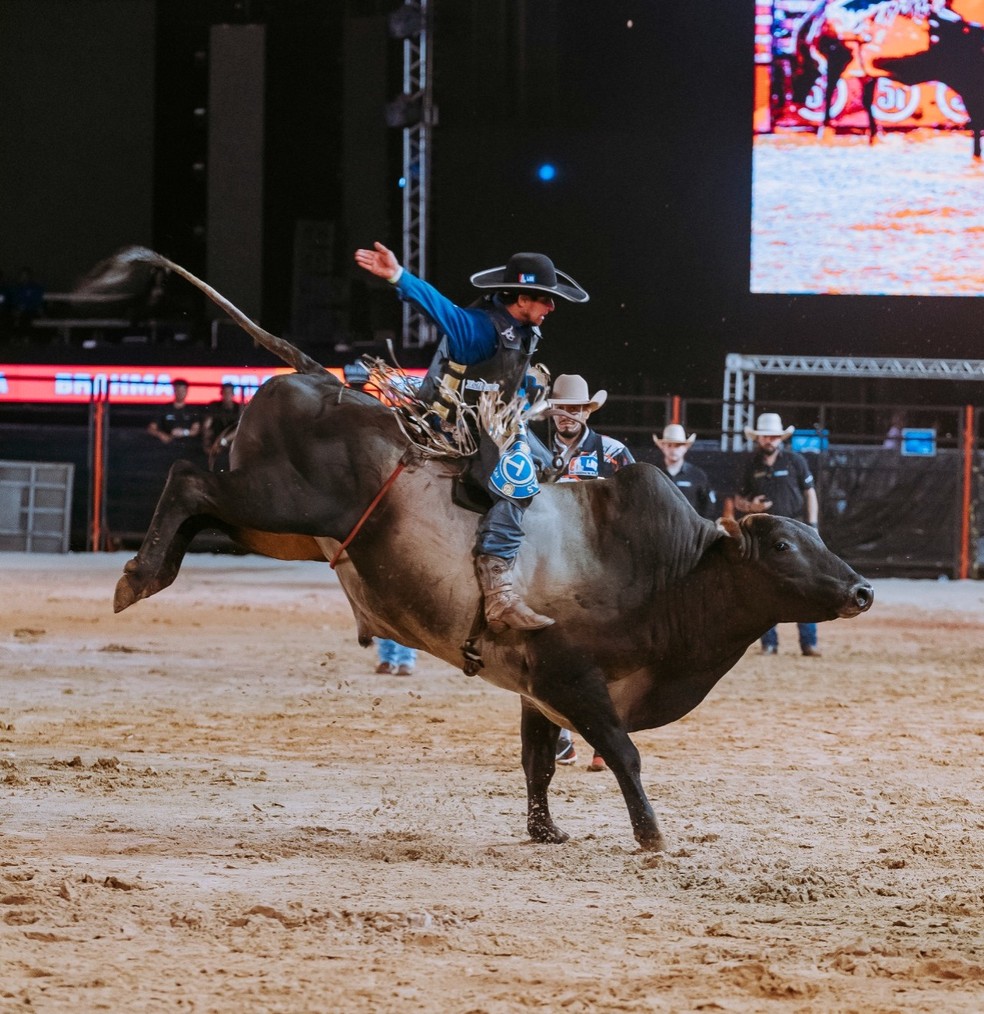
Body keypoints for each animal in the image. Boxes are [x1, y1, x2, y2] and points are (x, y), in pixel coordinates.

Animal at [111, 249, 872, 851]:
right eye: (782, 544)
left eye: (816, 537)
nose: (862, 590)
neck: (666, 575)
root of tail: (320, 377)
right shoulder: (573, 676)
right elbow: (622, 753)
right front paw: (652, 835)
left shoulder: (538, 689)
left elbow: (538, 760)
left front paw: (545, 830)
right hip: (279, 501)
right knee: (187, 477)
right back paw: (139, 576)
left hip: (279, 529)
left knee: (198, 506)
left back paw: (151, 569)